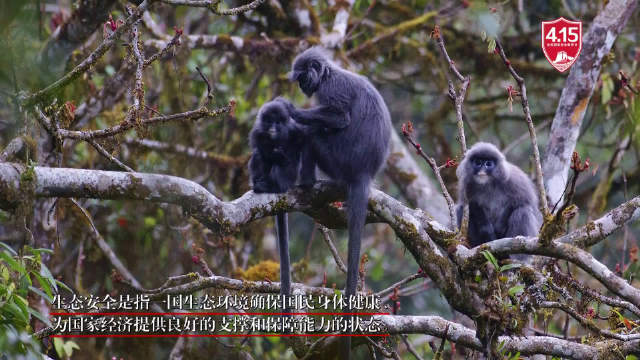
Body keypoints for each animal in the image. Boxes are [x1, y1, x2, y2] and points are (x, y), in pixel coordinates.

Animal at [249, 97, 312, 302]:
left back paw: (272, 185)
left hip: (287, 179)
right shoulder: (258, 131)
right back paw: (259, 183)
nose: (273, 128)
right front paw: (271, 151)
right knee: (258, 156)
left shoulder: (294, 130)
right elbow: (258, 145)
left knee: (282, 166)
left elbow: (300, 142)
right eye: (270, 121)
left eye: (278, 122)